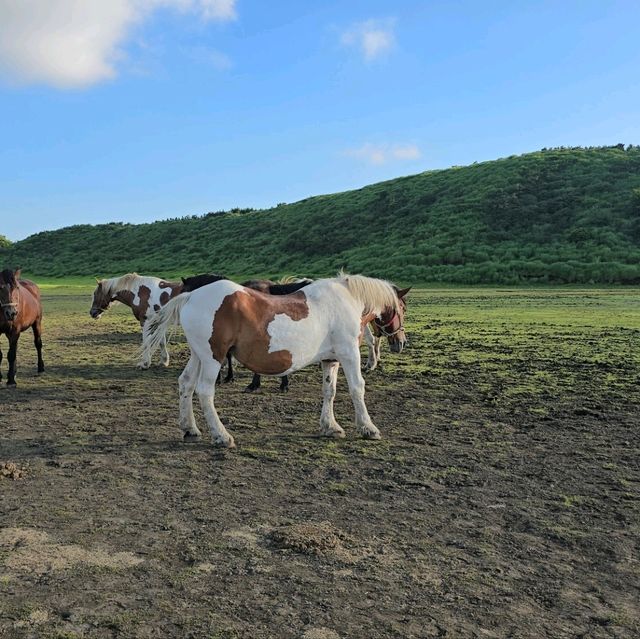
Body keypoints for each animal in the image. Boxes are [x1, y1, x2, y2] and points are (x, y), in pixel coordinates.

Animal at [141, 272, 410, 448]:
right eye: (403, 308)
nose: (401, 342)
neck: (345, 300)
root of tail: (191, 296)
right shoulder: (348, 354)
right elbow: (357, 389)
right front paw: (368, 428)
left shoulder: (330, 360)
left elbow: (329, 391)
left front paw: (330, 427)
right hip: (212, 357)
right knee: (205, 391)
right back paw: (221, 436)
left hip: (199, 355)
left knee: (185, 384)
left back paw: (190, 429)